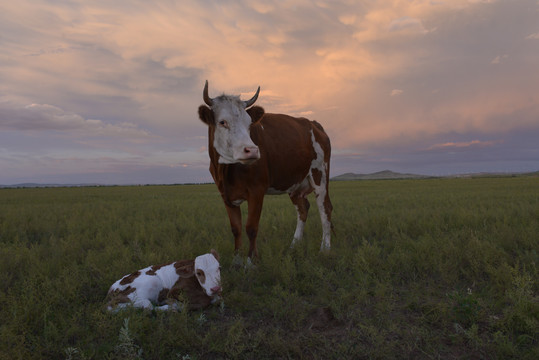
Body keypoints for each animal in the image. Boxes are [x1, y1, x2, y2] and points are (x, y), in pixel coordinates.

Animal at [198, 81, 334, 260]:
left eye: (249, 124)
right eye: (222, 122)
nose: (252, 150)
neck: (226, 172)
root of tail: (313, 123)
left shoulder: (257, 191)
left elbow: (251, 228)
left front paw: (250, 261)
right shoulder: (225, 195)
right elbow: (236, 229)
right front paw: (237, 260)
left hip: (320, 174)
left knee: (324, 208)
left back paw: (325, 249)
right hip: (294, 183)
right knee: (303, 208)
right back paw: (293, 246)